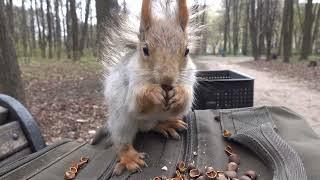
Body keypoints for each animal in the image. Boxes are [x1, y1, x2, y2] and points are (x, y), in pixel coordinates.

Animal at [93, 0, 198, 175]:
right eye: (145, 49)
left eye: (187, 50)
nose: (167, 80)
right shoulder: (130, 80)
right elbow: (138, 100)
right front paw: (153, 93)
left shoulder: (189, 76)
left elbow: (186, 100)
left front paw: (180, 94)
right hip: (122, 122)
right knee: (122, 141)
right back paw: (129, 157)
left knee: (152, 126)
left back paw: (167, 124)